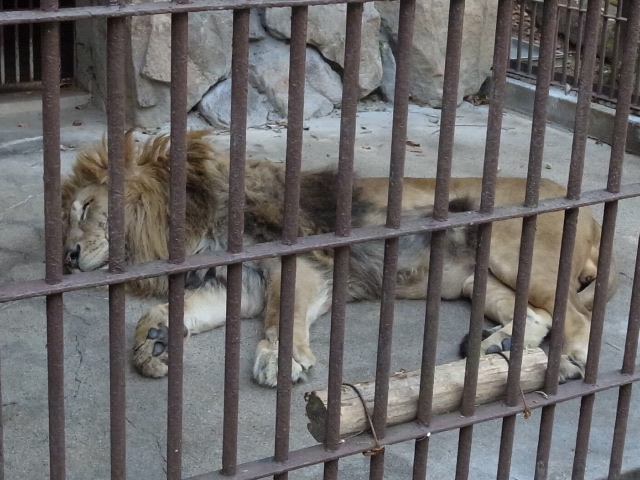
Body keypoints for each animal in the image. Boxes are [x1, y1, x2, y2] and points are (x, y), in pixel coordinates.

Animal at [61, 130, 616, 386]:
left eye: (84, 208)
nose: (66, 256)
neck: (200, 224)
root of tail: (591, 215)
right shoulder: (241, 282)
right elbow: (177, 310)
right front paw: (151, 340)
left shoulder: (301, 265)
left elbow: (282, 315)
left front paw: (280, 359)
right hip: (477, 278)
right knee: (540, 314)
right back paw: (500, 346)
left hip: (513, 252)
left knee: (577, 317)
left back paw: (569, 363)